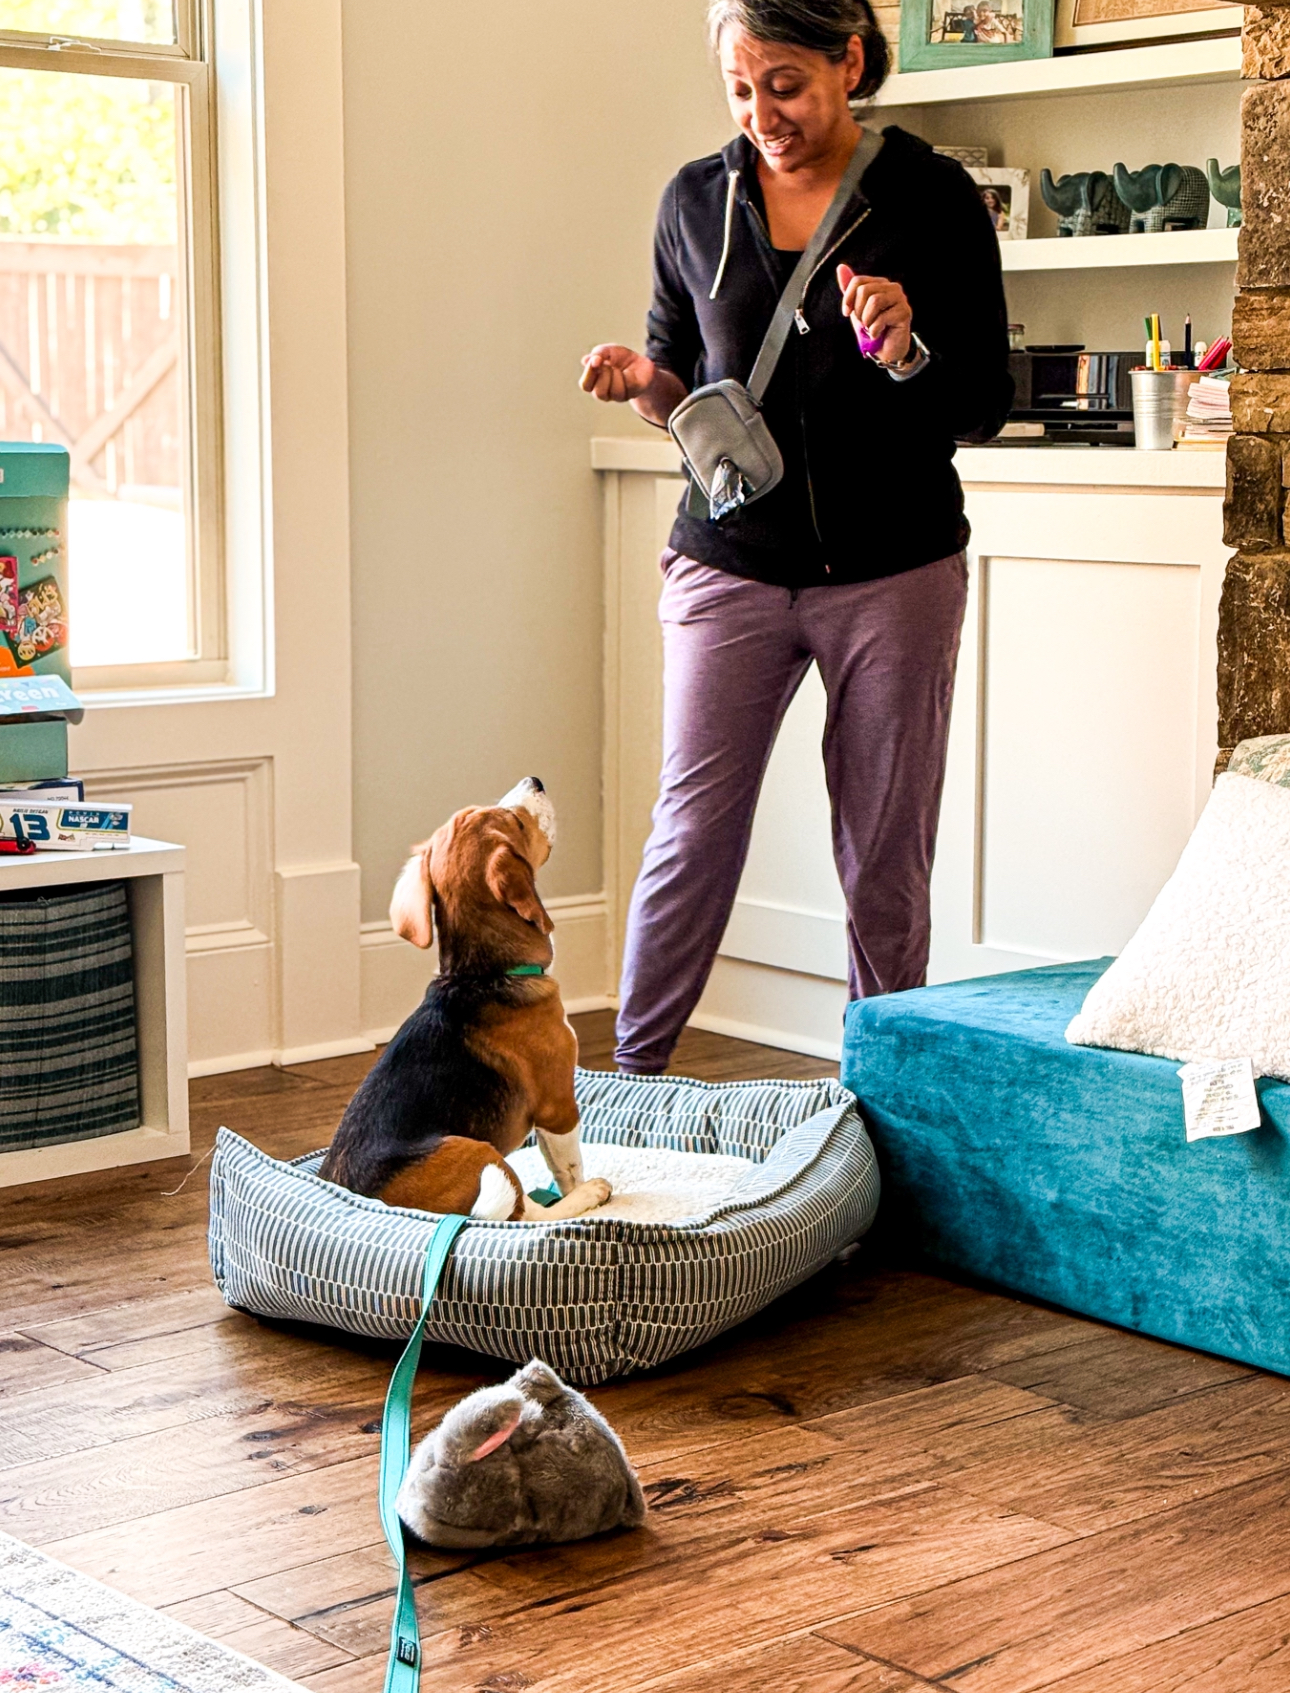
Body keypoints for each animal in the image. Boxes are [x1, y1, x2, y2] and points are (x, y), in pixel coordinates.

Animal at [319, 778, 606, 1218]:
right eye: (516, 823)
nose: (534, 781)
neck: (480, 975)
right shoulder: (558, 1106)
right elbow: (568, 1166)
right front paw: (582, 1190)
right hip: (479, 1153)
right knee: (521, 1214)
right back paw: (588, 1196)